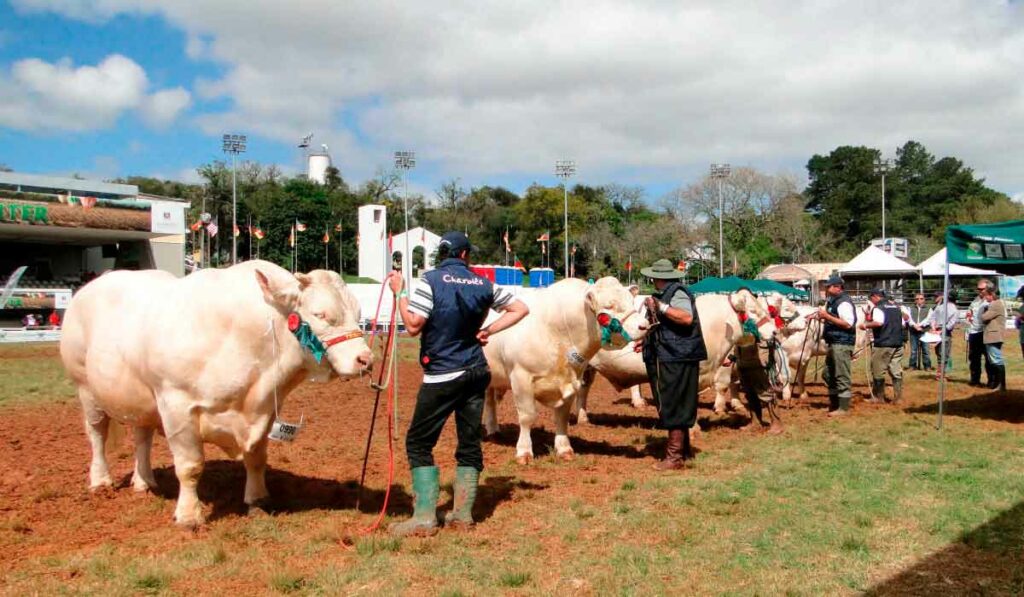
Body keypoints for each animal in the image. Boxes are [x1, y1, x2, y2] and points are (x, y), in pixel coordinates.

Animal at [58, 262, 372, 528]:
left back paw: (144, 481)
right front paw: (189, 516)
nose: (365, 359)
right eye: (321, 314)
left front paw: (257, 500)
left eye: (359, 315)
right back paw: (101, 481)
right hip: (86, 389)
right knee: (97, 433)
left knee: (141, 436)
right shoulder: (176, 404)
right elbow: (190, 466)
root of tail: (90, 287)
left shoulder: (265, 409)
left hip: (142, 398)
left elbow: (256, 457)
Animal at [481, 278, 643, 464]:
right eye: (609, 306)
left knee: (490, 400)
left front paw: (564, 449)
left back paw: (493, 430)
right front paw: (524, 452)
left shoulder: (572, 380)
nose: (644, 325)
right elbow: (527, 416)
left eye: (632, 301)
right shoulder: (521, 377)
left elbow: (562, 417)